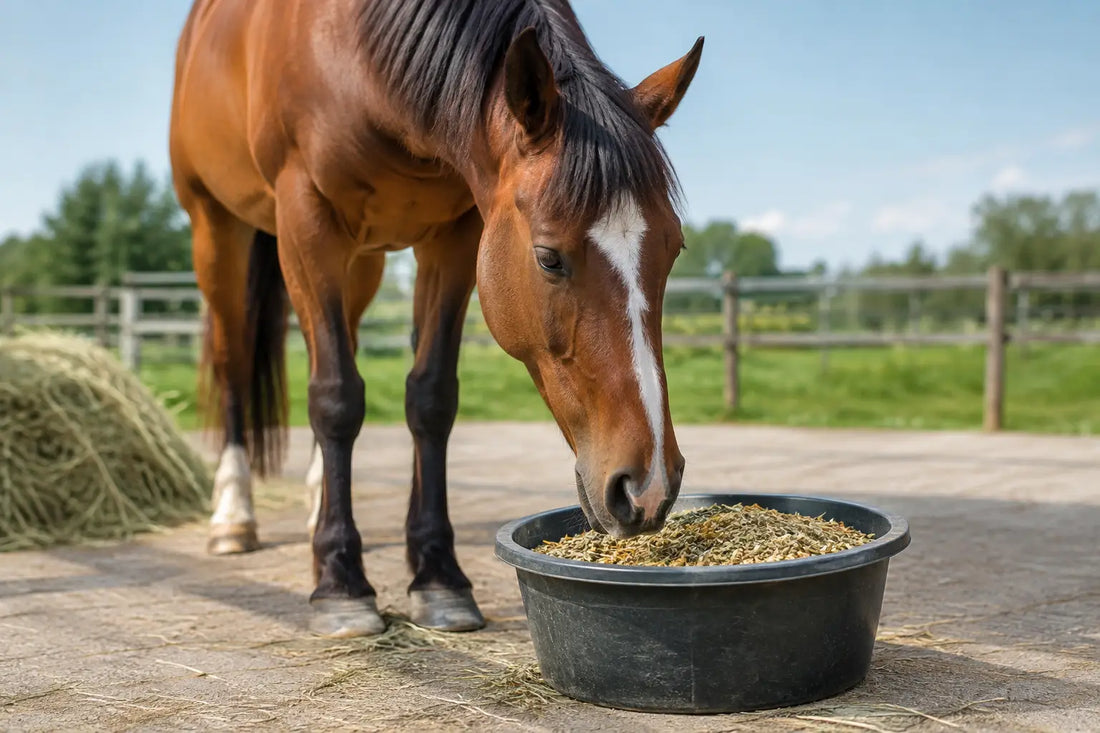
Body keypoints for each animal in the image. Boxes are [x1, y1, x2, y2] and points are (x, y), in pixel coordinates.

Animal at [170, 0, 703, 637]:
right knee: (233, 363)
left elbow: (430, 399)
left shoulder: (457, 234)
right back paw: (233, 516)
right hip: (217, 229)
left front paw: (438, 576)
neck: (357, 49)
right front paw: (341, 582)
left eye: (673, 250)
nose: (648, 487)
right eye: (549, 257)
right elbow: (335, 397)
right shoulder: (306, 218)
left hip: (362, 261)